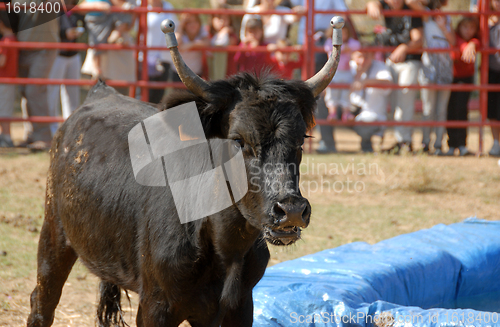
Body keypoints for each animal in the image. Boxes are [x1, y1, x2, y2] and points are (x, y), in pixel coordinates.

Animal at [27, 74, 318, 327]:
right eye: (238, 139)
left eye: (301, 139)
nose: (291, 210)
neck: (225, 248)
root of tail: (100, 92)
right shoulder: (155, 306)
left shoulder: (240, 306)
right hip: (54, 234)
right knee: (42, 302)